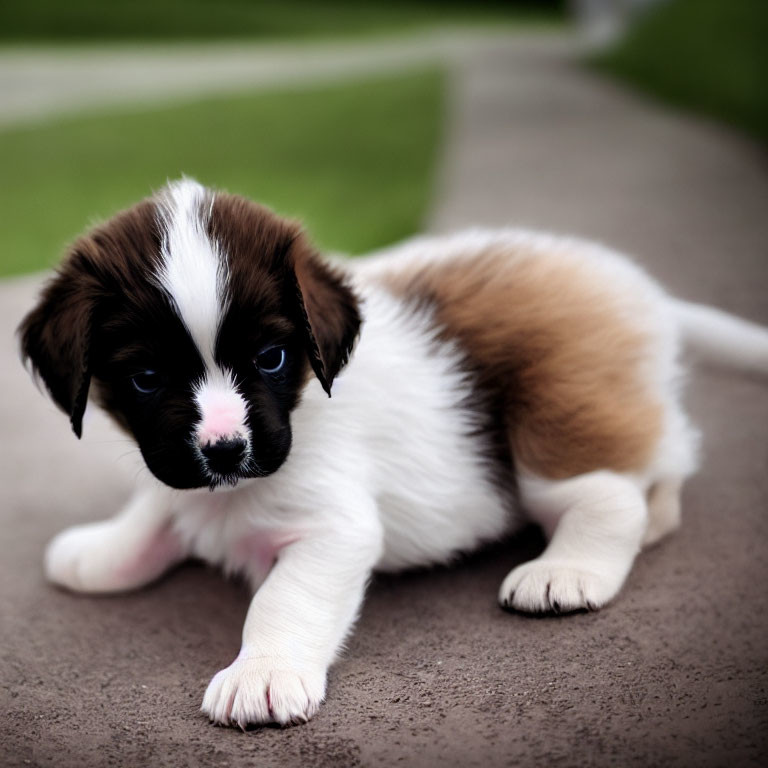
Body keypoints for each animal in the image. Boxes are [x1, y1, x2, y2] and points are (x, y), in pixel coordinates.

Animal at [18, 178, 768, 728]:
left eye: (270, 358)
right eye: (146, 378)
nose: (226, 452)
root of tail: (639, 291)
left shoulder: (333, 527)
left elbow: (284, 599)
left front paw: (264, 671)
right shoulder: (177, 473)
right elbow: (156, 505)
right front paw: (107, 550)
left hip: (552, 416)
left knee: (611, 488)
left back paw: (571, 567)